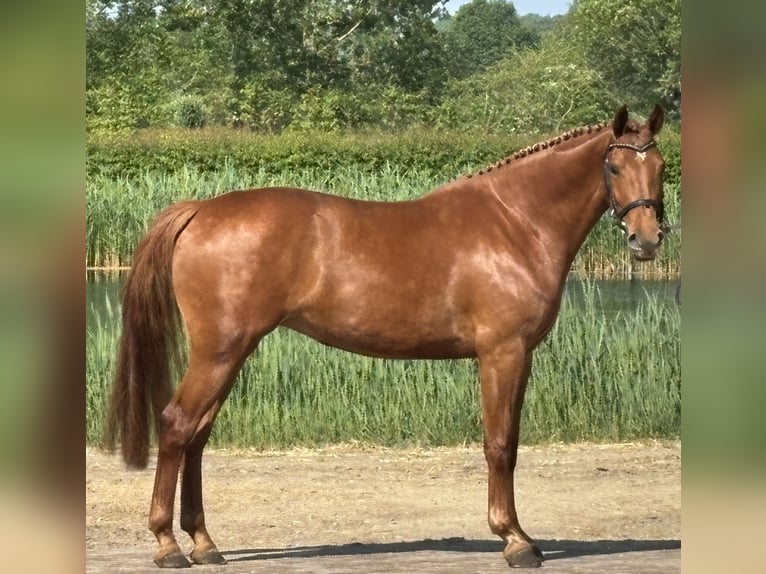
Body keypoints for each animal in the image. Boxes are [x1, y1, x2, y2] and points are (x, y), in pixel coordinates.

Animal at [105, 104, 667, 568]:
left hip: (230, 352)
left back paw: (204, 543)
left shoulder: (515, 356)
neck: (516, 223)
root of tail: (201, 210)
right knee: (177, 425)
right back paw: (168, 545)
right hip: (220, 350)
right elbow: (501, 444)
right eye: (615, 167)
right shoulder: (503, 353)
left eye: (660, 166)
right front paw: (515, 540)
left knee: (197, 434)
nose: (646, 240)